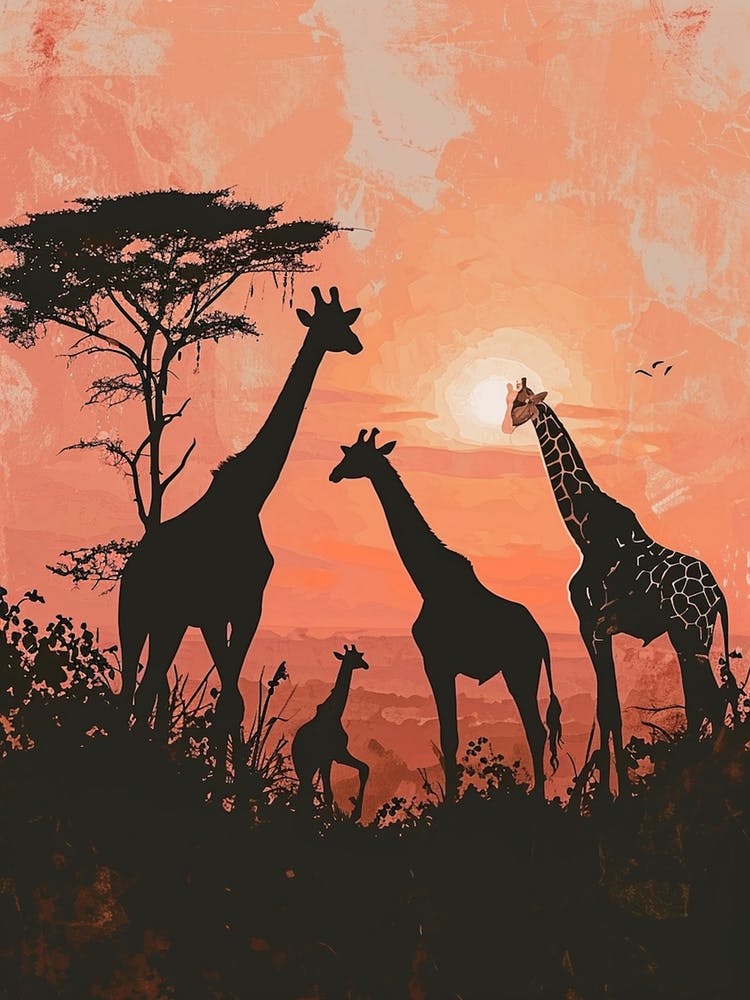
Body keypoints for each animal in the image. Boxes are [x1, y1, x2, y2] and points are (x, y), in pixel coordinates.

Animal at [118, 287, 362, 770]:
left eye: (346, 320)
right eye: (332, 324)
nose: (356, 344)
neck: (251, 496)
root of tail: (130, 571)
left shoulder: (233, 611)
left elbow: (231, 699)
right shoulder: (233, 608)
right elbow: (230, 699)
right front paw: (232, 781)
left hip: (163, 622)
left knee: (143, 688)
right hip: (138, 617)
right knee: (135, 690)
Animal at [292, 643, 371, 822]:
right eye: (357, 657)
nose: (366, 665)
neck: (336, 712)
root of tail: (294, 745)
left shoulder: (330, 758)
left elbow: (364, 769)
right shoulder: (337, 754)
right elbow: (330, 793)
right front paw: (354, 814)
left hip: (307, 766)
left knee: (304, 793)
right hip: (306, 765)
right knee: (305, 793)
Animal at [329, 429, 562, 801]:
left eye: (355, 456)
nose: (334, 473)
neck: (428, 581)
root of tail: (541, 638)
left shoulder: (436, 662)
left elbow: (448, 738)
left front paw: (450, 803)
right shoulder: (442, 665)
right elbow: (449, 737)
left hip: (520, 670)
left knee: (536, 730)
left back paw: (539, 798)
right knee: (536, 729)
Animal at [507, 377, 732, 795]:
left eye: (524, 401)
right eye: (513, 400)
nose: (511, 420)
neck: (582, 532)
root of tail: (719, 596)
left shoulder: (590, 625)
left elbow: (608, 710)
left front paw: (610, 798)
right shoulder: (600, 629)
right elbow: (608, 709)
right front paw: (611, 793)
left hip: (692, 635)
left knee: (712, 699)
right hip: (688, 639)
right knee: (703, 701)